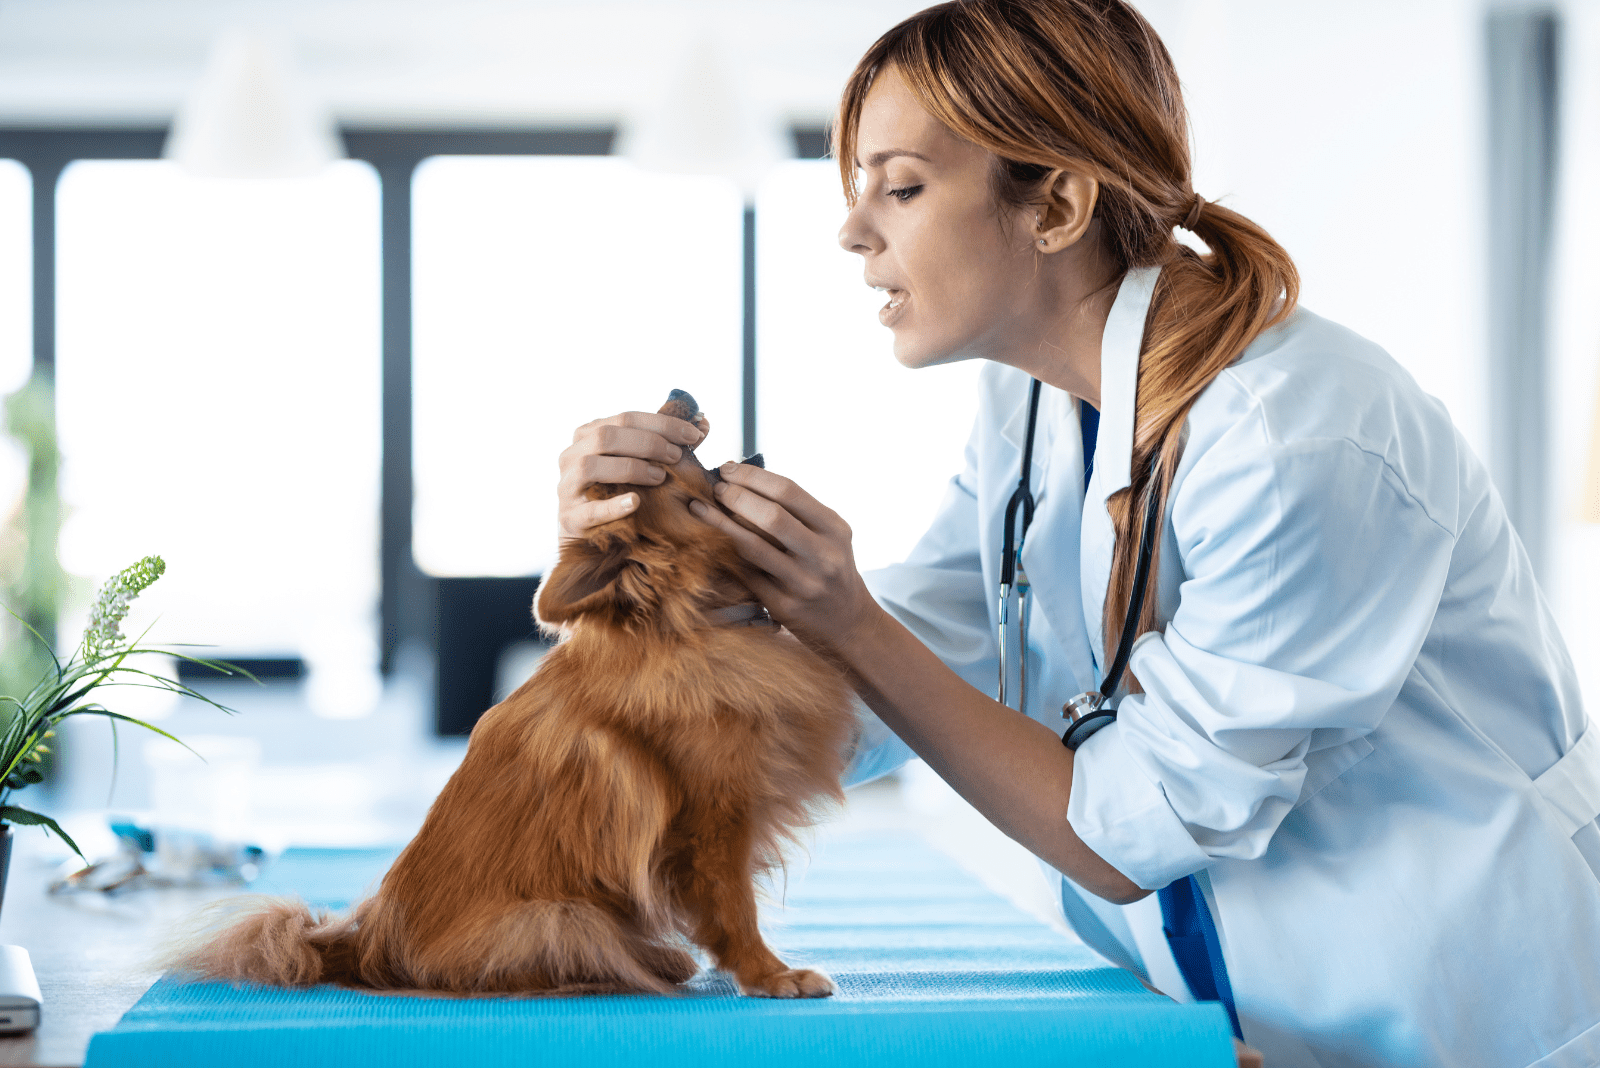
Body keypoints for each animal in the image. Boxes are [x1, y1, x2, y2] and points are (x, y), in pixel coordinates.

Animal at [168, 391, 857, 1004]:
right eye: (649, 466)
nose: (677, 390)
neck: (697, 623)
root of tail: (361, 948)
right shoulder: (713, 818)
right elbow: (732, 906)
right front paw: (771, 975)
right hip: (563, 916)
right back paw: (634, 968)